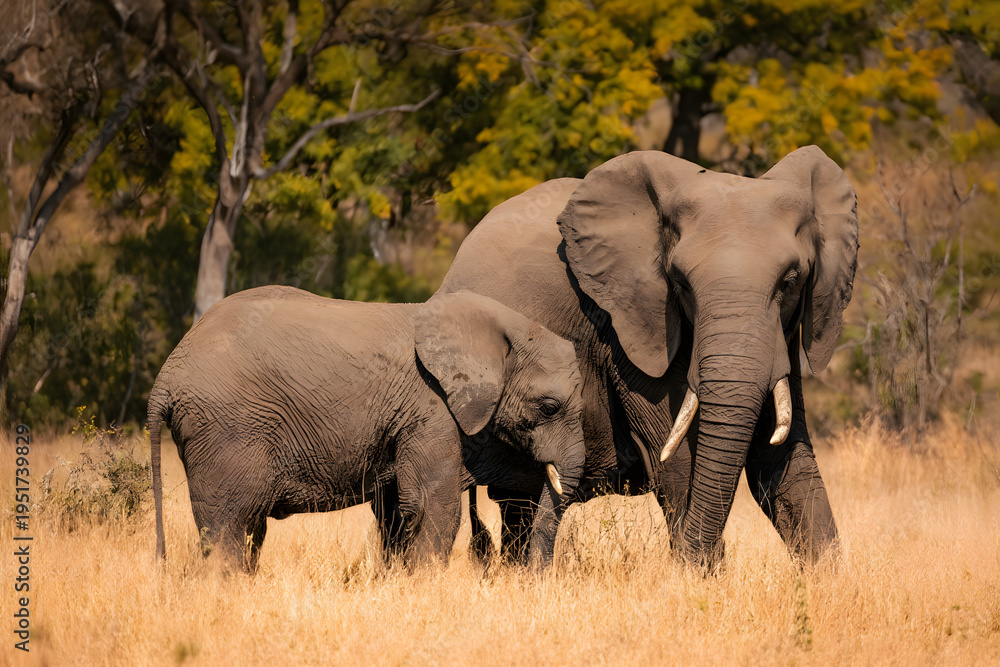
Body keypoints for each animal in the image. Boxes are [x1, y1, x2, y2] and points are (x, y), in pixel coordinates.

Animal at [147, 285, 585, 572]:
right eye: (549, 408)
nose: (530, 578)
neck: (501, 327)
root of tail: (165, 375)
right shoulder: (431, 408)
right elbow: (431, 503)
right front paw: (425, 586)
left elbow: (396, 507)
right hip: (227, 429)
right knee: (231, 523)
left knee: (245, 526)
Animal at [436, 146, 858, 569]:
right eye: (681, 284)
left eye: (791, 281)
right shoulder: (625, 327)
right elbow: (678, 461)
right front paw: (697, 577)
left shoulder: (783, 334)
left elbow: (782, 459)